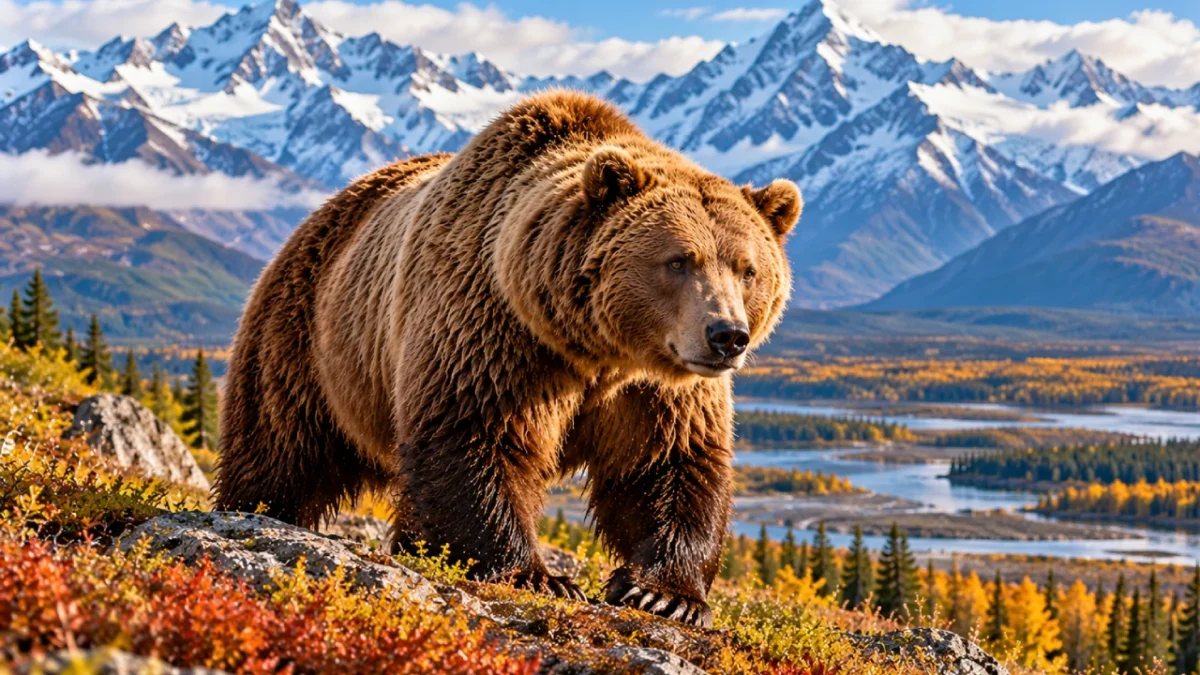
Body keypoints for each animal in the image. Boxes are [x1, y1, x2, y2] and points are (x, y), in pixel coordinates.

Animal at [214, 90, 801, 627]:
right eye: (679, 261)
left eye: (748, 269)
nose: (727, 336)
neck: (597, 349)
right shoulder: (497, 334)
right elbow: (475, 435)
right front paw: (542, 577)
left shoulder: (656, 388)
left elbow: (668, 463)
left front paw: (664, 594)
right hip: (308, 336)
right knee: (279, 446)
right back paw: (255, 508)